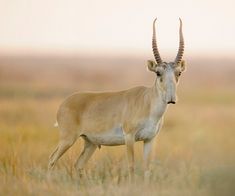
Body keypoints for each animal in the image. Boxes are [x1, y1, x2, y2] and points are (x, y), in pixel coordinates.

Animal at [48, 17, 186, 180]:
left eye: (178, 73)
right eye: (158, 73)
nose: (171, 99)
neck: (147, 101)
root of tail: (64, 103)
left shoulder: (149, 140)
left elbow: (147, 168)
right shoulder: (129, 137)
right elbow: (131, 166)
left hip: (90, 143)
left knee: (78, 164)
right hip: (68, 139)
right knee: (52, 159)